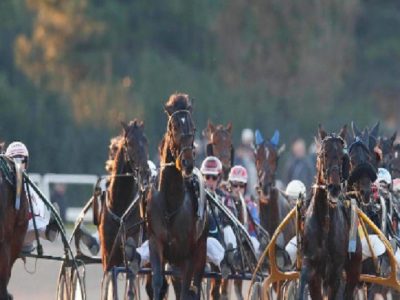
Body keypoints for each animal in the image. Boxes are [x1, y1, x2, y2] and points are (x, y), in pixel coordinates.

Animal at [98, 120, 150, 296]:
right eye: (130, 143)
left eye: (146, 141)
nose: (146, 173)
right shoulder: (109, 258)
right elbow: (109, 286)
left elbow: (131, 288)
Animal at [148, 94, 209, 300]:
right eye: (174, 126)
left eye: (194, 128)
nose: (187, 162)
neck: (170, 202)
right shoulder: (156, 243)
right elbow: (158, 283)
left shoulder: (188, 253)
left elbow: (186, 290)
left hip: (200, 248)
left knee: (194, 285)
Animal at [298, 125, 360, 300]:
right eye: (323, 154)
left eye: (342, 157)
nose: (334, 188)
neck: (325, 221)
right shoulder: (310, 263)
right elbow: (303, 281)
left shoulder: (335, 270)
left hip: (354, 267)